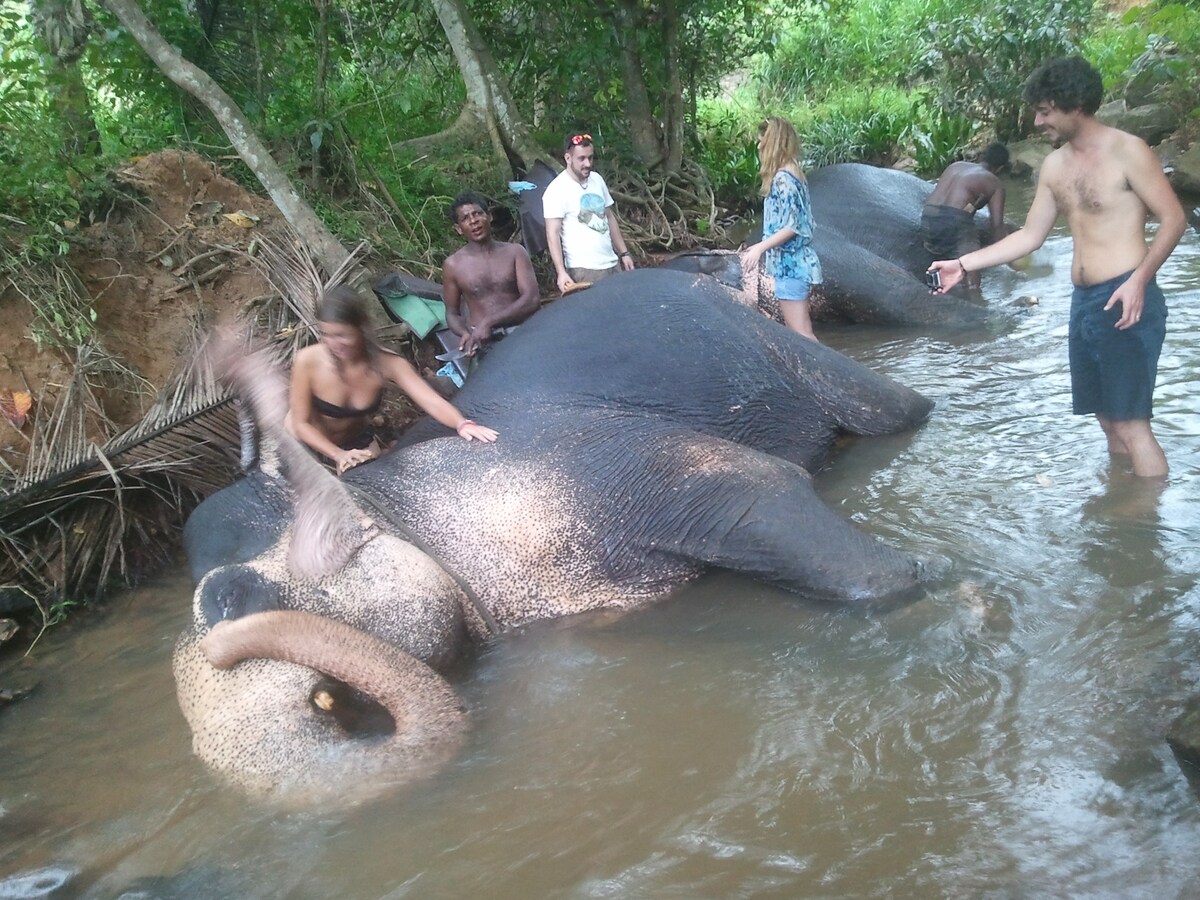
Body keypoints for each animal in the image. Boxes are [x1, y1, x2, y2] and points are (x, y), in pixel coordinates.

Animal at [175, 270, 936, 801]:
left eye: (234, 595)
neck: (390, 492)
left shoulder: (579, 465)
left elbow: (765, 486)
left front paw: (938, 596)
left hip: (771, 340)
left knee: (896, 409)